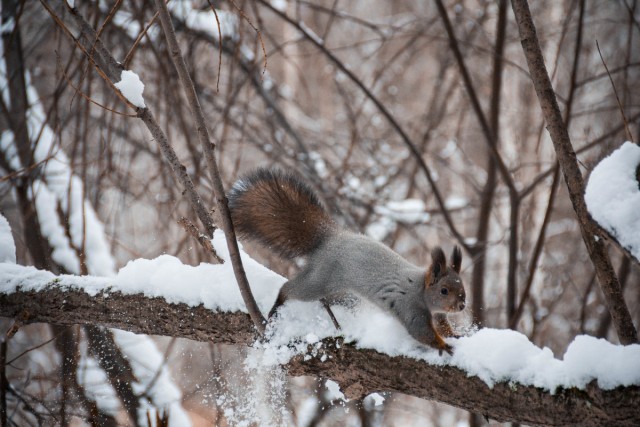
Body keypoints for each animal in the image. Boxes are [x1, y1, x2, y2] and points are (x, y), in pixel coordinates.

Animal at [229, 169, 464, 356]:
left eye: (462, 288)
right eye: (444, 290)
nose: (462, 305)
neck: (421, 289)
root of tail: (331, 238)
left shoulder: (439, 314)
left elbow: (442, 325)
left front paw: (455, 335)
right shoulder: (411, 307)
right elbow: (420, 332)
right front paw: (442, 345)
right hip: (320, 280)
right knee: (291, 289)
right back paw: (278, 303)